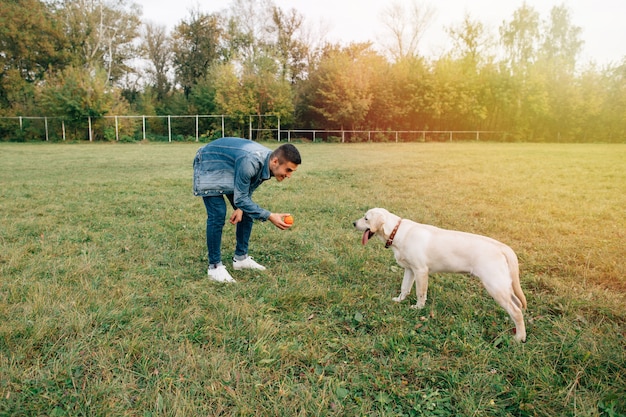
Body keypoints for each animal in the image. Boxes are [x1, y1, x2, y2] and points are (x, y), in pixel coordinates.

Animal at [354, 208, 524, 342]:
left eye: (366, 218)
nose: (353, 223)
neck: (397, 232)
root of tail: (502, 247)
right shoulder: (410, 270)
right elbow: (404, 288)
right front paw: (399, 300)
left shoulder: (421, 270)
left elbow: (420, 292)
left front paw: (418, 308)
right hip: (503, 285)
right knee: (517, 304)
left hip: (495, 286)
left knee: (516, 311)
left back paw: (519, 338)